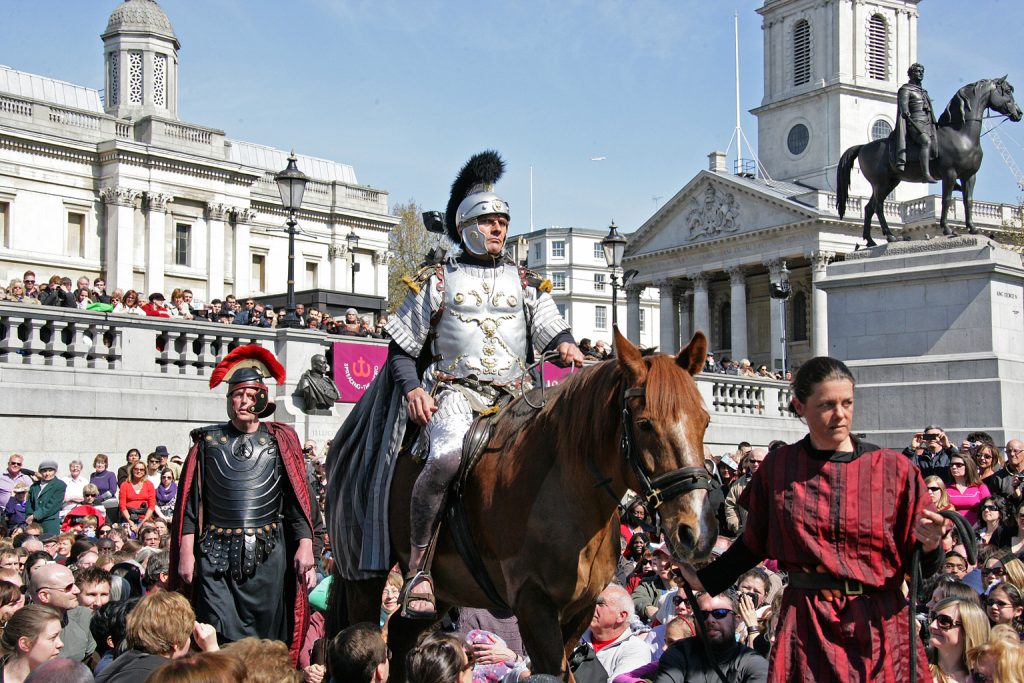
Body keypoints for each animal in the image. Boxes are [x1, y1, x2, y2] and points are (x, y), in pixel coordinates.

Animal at [327, 329, 712, 679]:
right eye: (645, 424)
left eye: (704, 420)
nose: (695, 532)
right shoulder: (533, 604)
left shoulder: (581, 608)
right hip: (364, 576)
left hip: (446, 589)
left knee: (400, 637)